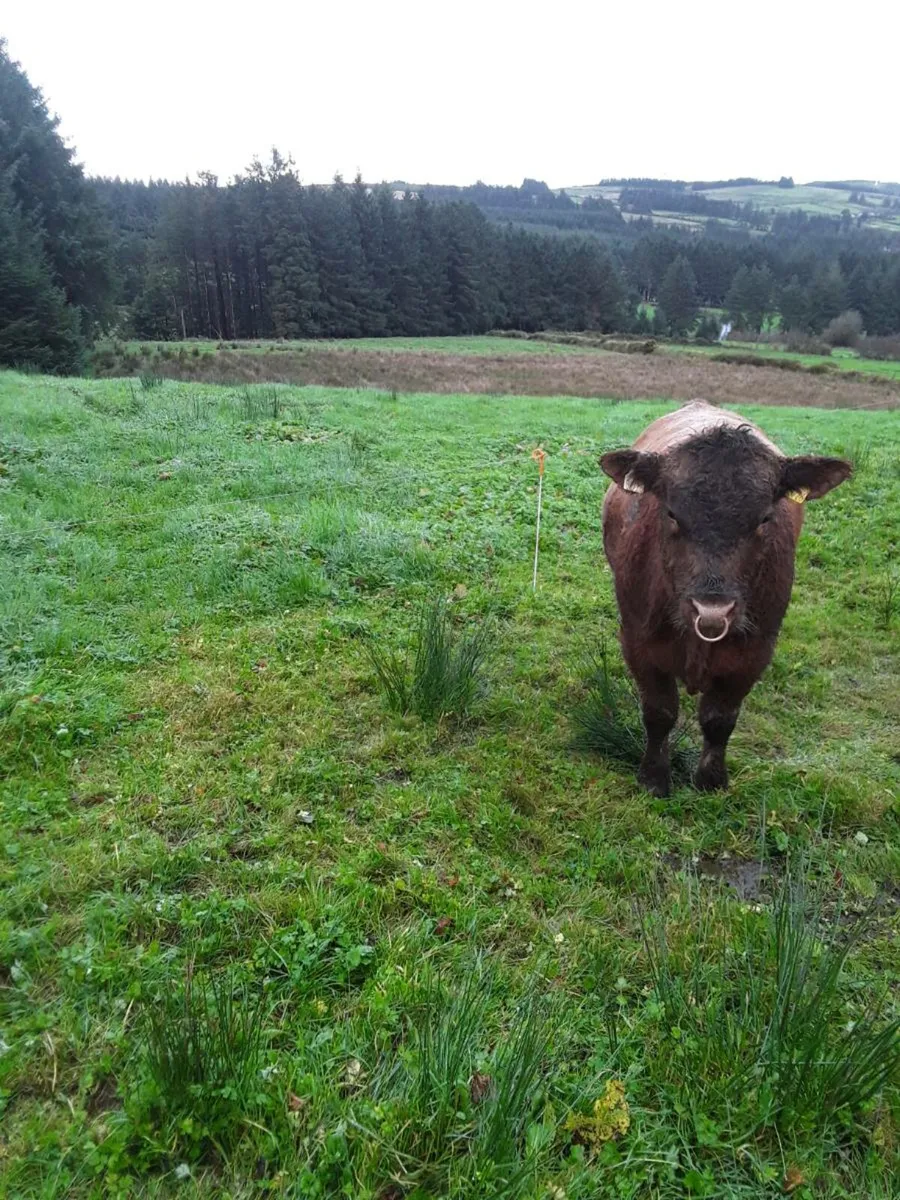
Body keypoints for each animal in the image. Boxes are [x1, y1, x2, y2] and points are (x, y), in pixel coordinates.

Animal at [600, 400, 852, 797]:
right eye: (672, 513)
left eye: (764, 518)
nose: (712, 608)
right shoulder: (638, 641)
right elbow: (659, 713)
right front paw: (654, 777)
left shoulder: (754, 652)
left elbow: (719, 719)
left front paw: (710, 780)